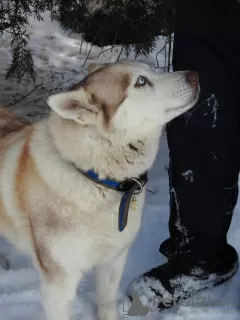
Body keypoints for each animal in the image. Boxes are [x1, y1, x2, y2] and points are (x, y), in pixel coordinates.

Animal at [0, 60, 199, 320]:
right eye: (141, 81)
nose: (195, 75)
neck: (92, 178)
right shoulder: (59, 284)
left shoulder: (113, 260)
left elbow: (106, 301)